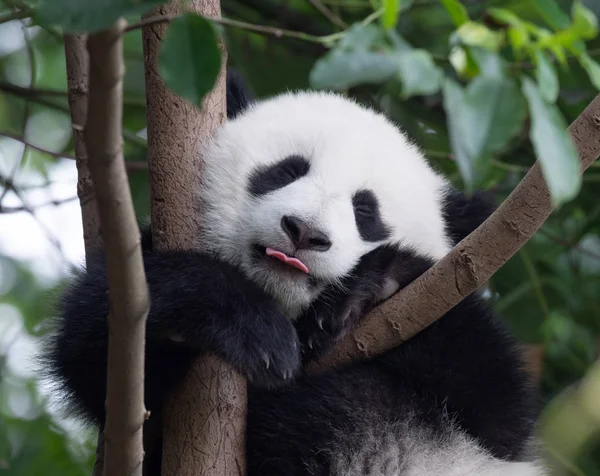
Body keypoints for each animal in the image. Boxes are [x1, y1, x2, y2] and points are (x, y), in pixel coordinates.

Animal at [44, 71, 548, 476]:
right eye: (286, 171)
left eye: (366, 212)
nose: (305, 233)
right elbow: (95, 352)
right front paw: (256, 330)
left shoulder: (486, 405)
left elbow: (493, 398)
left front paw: (364, 293)